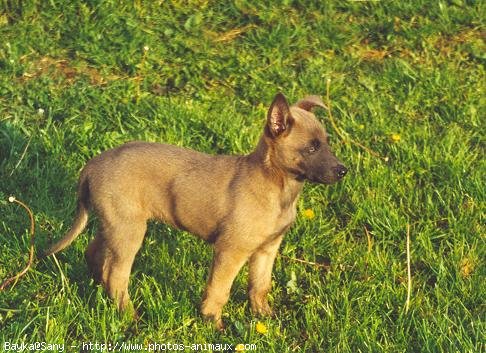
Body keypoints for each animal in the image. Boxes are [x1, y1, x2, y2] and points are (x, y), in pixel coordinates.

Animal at [45, 92, 348, 328]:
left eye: (327, 143)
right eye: (311, 149)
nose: (343, 171)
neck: (277, 185)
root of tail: (92, 165)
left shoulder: (267, 249)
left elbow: (260, 286)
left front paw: (265, 317)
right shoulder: (230, 251)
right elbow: (219, 290)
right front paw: (213, 323)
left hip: (117, 224)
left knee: (95, 254)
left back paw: (98, 289)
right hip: (129, 232)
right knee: (116, 276)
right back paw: (130, 317)